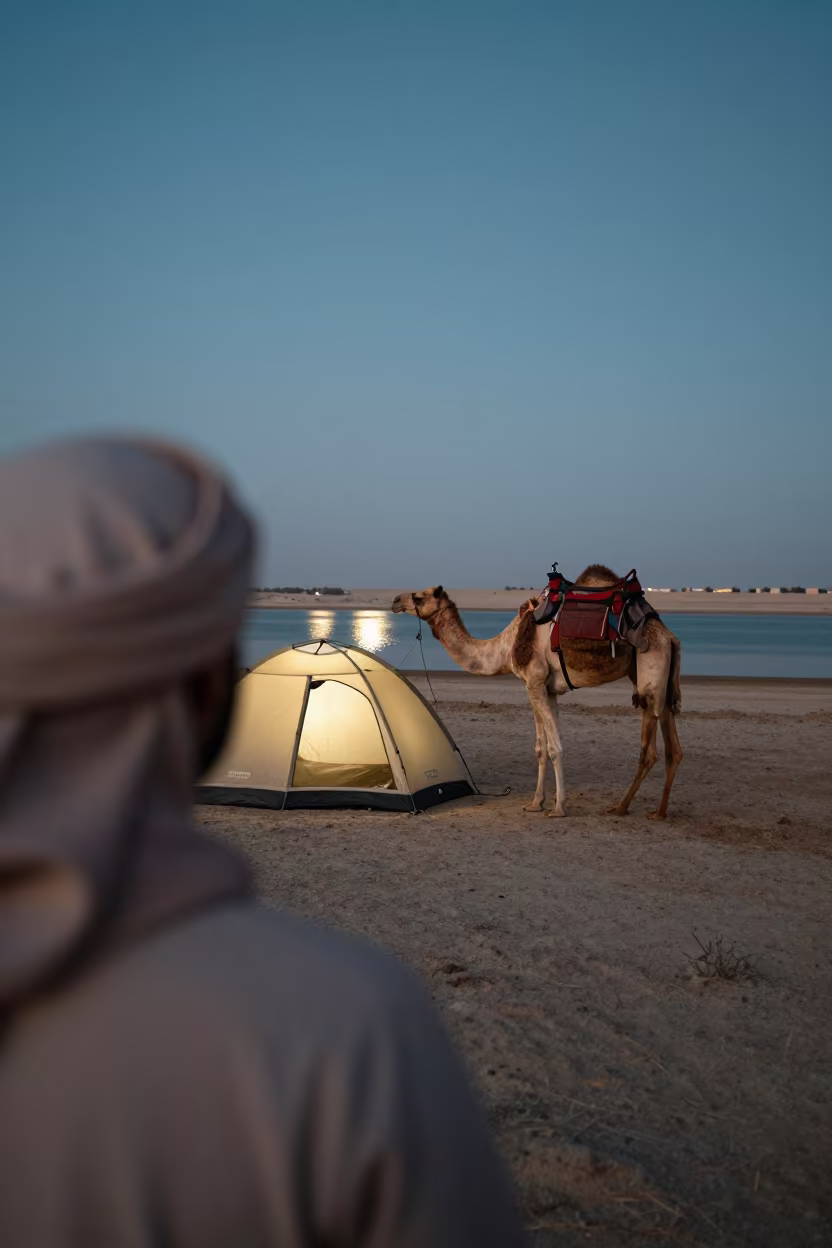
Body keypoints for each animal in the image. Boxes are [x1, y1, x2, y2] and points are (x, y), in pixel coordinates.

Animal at [392, 566, 683, 819]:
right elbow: (541, 748)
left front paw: (559, 808)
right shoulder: (542, 687)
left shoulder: (534, 681)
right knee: (674, 749)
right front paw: (536, 803)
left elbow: (555, 747)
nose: (395, 600)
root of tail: (670, 636)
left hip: (650, 670)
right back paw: (659, 812)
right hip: (660, 680)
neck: (505, 647)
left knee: (650, 750)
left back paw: (621, 807)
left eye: (419, 596)